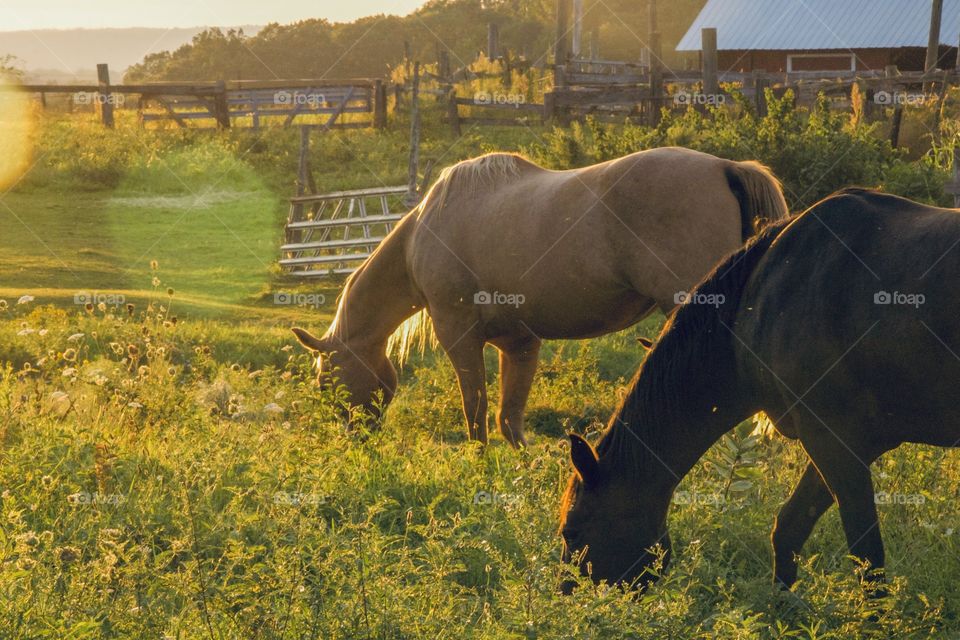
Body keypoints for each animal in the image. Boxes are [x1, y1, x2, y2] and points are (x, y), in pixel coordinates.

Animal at [292, 146, 788, 444]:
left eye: (325, 381)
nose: (356, 437)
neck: (425, 231)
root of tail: (724, 167)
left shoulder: (460, 339)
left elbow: (476, 412)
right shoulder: (519, 344)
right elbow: (509, 419)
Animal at [560, 188, 960, 592]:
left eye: (571, 532)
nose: (567, 596)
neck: (763, 297)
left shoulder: (835, 444)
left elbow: (868, 561)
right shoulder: (842, 443)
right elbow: (788, 529)